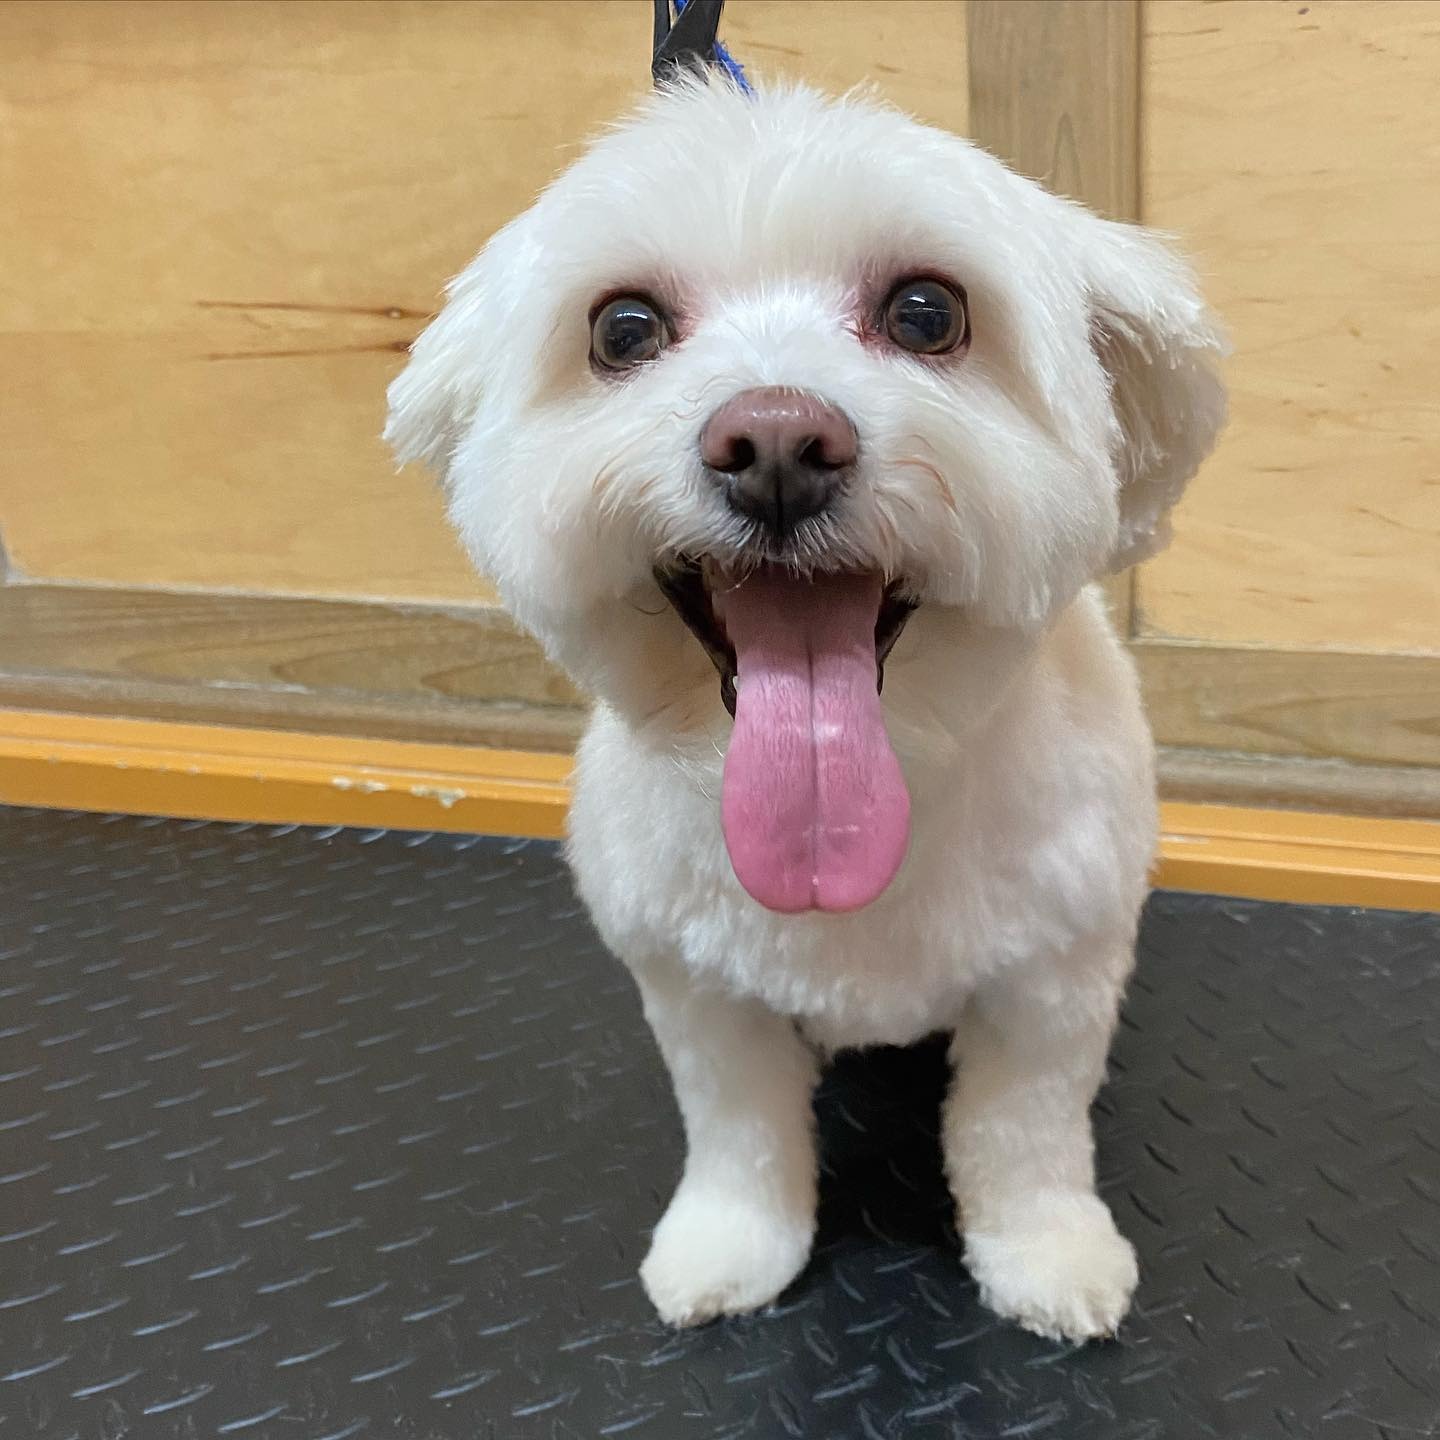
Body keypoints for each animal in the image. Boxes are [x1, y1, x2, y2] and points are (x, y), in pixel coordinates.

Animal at [386, 72, 1224, 1342]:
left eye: (927, 313)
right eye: (622, 329)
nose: (776, 441)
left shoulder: (1052, 980)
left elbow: (1023, 1132)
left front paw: (1046, 1253)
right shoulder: (694, 985)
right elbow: (737, 1129)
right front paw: (730, 1244)